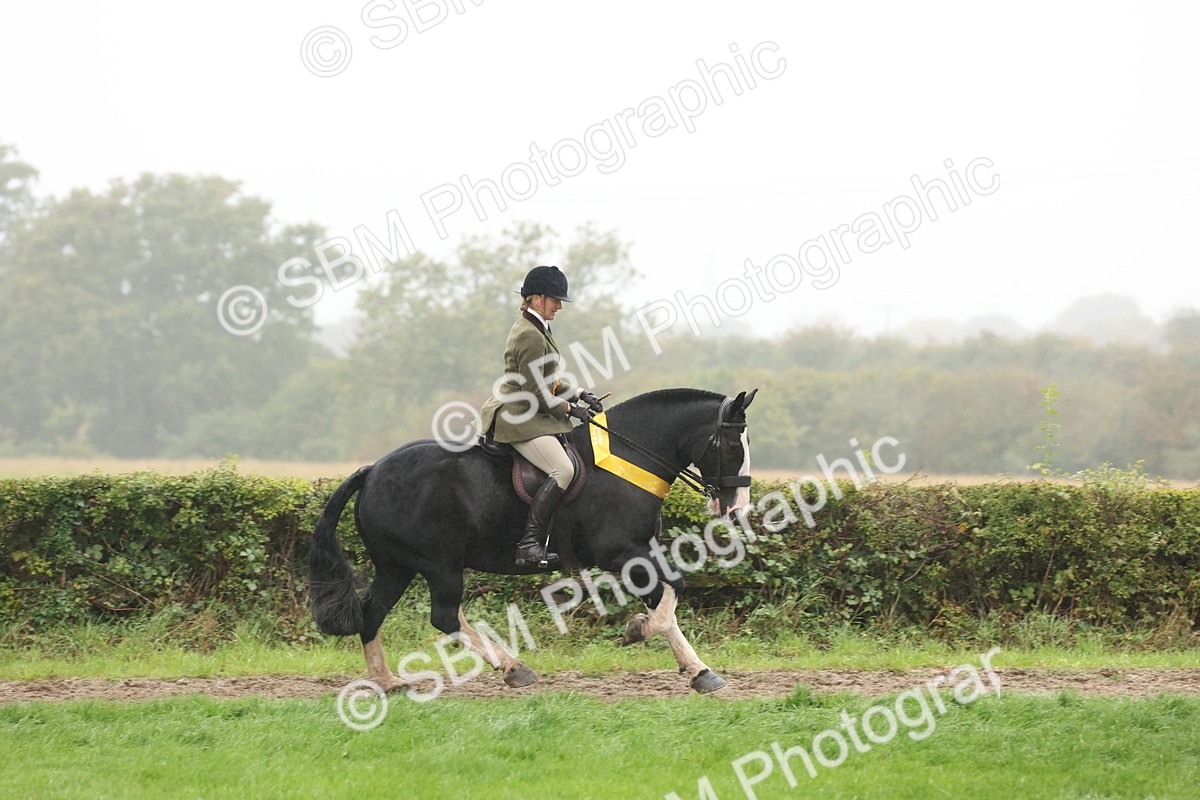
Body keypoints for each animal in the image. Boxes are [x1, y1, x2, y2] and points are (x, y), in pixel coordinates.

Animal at [308, 387, 757, 695]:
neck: (630, 458)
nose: (737, 507)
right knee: (444, 617)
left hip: (397, 566)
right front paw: (636, 631)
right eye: (730, 444)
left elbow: (665, 597)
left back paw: (387, 682)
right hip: (439, 564)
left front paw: (700, 671)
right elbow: (672, 591)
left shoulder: (639, 553)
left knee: (373, 612)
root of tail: (372, 471)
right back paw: (512, 668)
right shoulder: (622, 552)